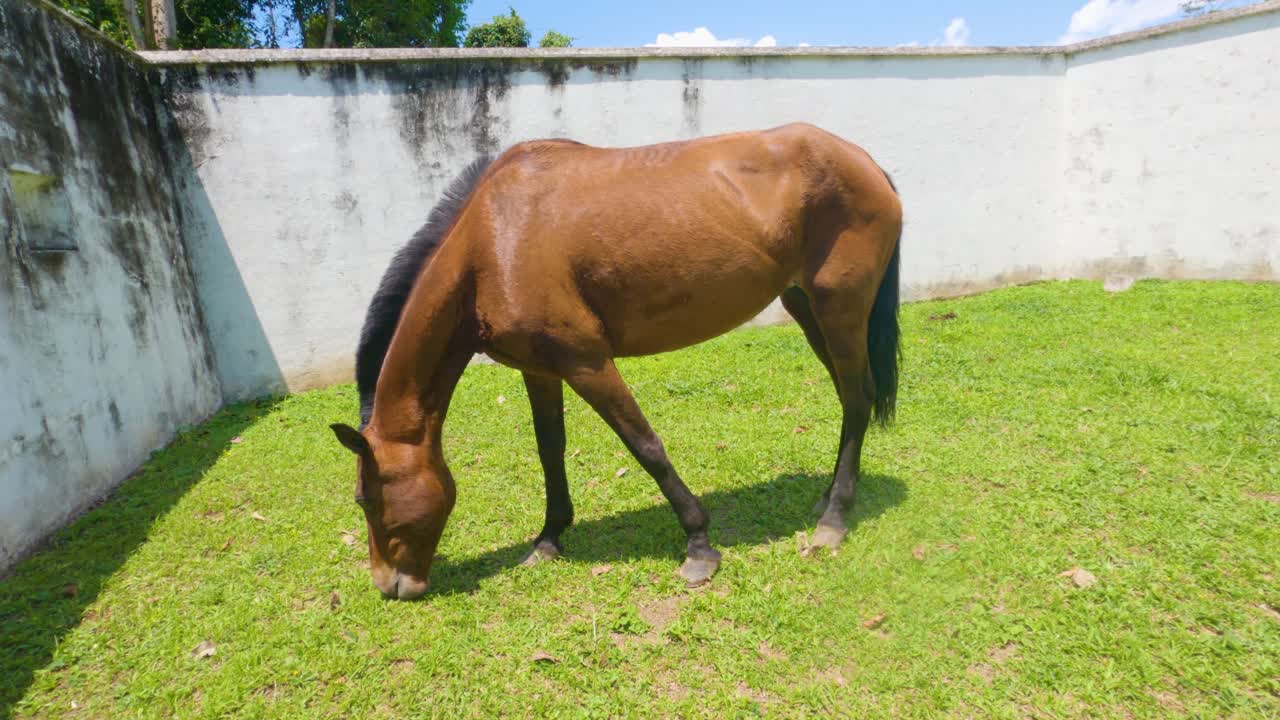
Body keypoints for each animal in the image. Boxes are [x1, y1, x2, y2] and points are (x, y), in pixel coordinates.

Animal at [330, 123, 902, 600]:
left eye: (366, 500)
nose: (390, 585)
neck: (492, 242)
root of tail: (865, 160)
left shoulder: (586, 361)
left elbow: (645, 445)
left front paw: (699, 546)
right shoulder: (539, 370)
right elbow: (550, 449)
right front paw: (549, 538)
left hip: (839, 309)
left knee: (856, 399)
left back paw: (833, 521)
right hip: (807, 307)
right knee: (851, 399)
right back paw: (828, 499)